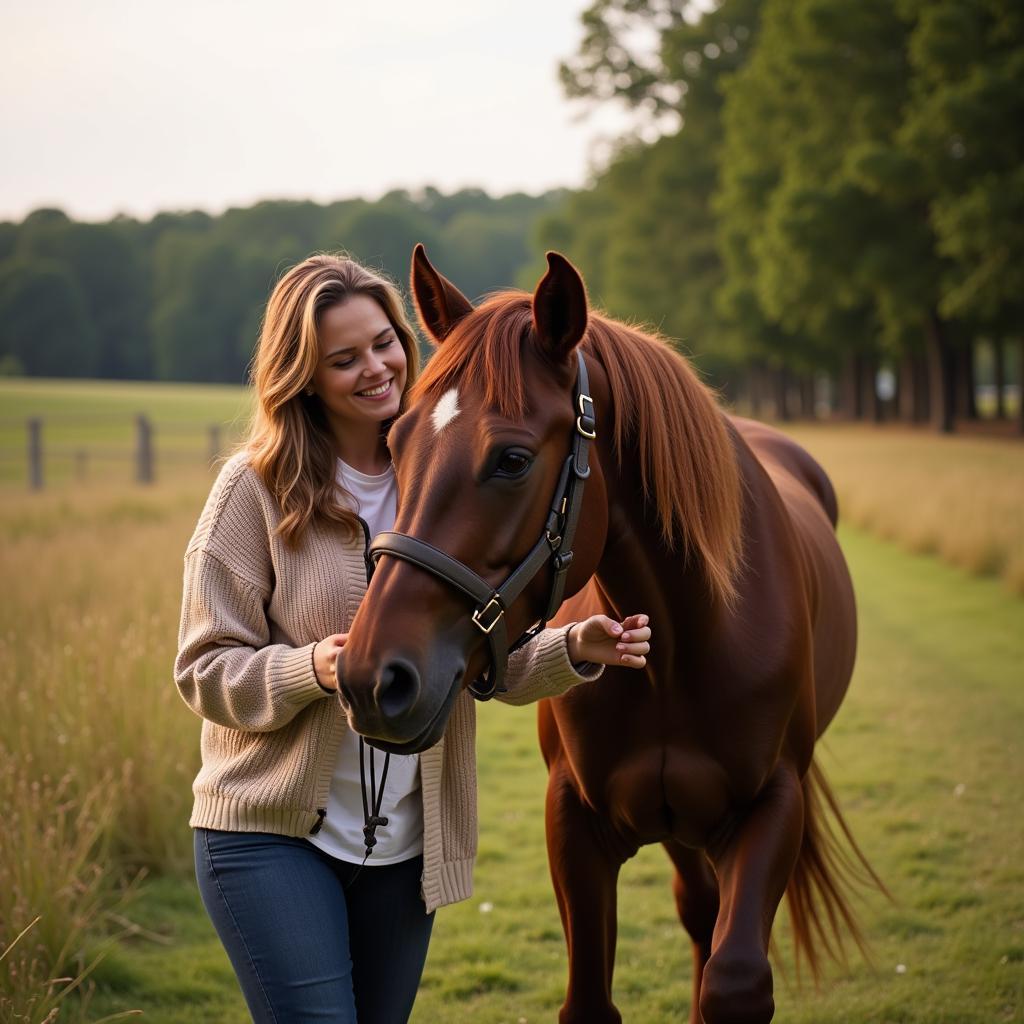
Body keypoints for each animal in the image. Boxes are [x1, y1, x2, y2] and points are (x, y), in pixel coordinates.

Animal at [337, 243, 880, 1019]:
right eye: (394, 441)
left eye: (512, 459)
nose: (371, 678)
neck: (681, 645)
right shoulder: (575, 823)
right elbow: (591, 1000)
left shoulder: (773, 806)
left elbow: (735, 979)